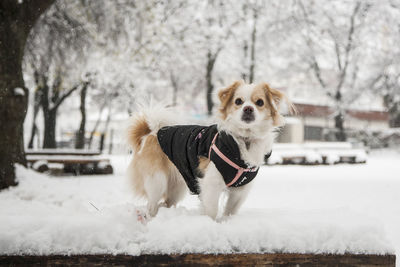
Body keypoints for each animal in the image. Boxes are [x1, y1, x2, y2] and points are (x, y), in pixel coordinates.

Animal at [128, 80, 294, 220]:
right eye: (238, 101)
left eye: (260, 102)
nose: (248, 108)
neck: (244, 140)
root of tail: (150, 134)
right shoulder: (211, 183)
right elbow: (212, 209)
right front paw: (210, 223)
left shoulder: (241, 190)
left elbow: (230, 211)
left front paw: (226, 222)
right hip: (157, 180)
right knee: (151, 205)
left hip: (177, 186)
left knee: (165, 203)